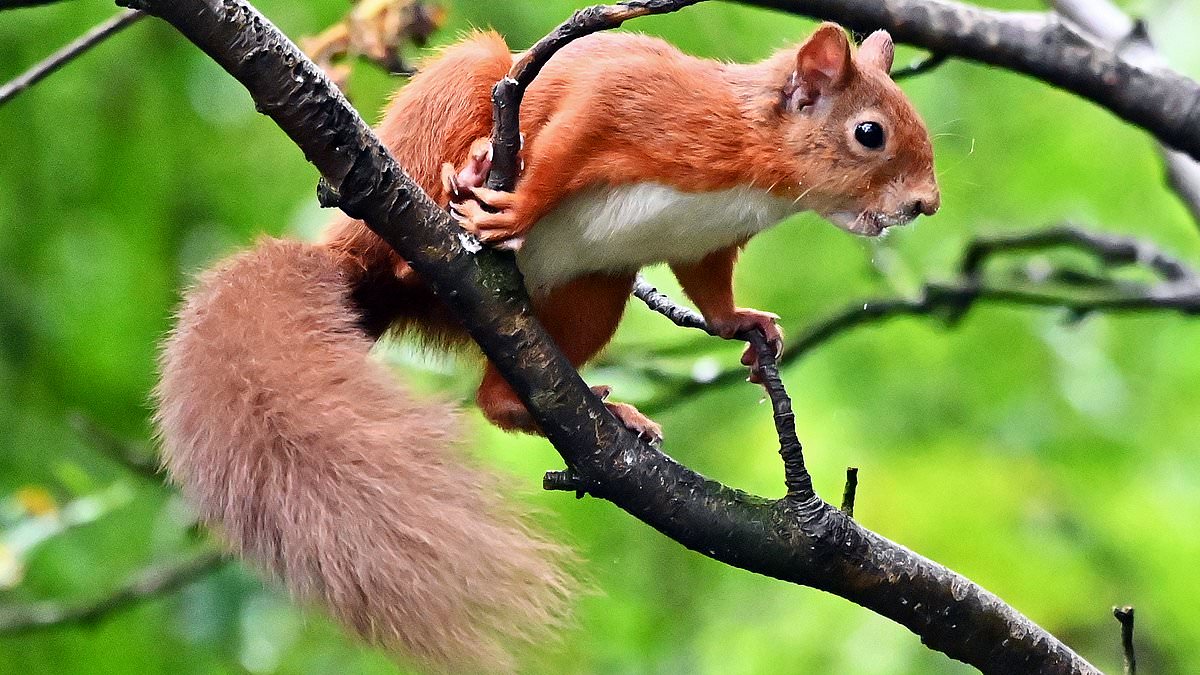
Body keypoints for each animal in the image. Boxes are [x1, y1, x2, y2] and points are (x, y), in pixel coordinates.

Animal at [155, 22, 938, 672]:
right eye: (870, 132)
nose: (925, 205)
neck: (758, 169)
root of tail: (358, 275)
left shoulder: (705, 241)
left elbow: (711, 292)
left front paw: (747, 327)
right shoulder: (638, 105)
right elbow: (570, 140)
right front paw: (518, 205)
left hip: (597, 289)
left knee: (499, 396)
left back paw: (599, 412)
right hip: (450, 109)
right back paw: (464, 179)